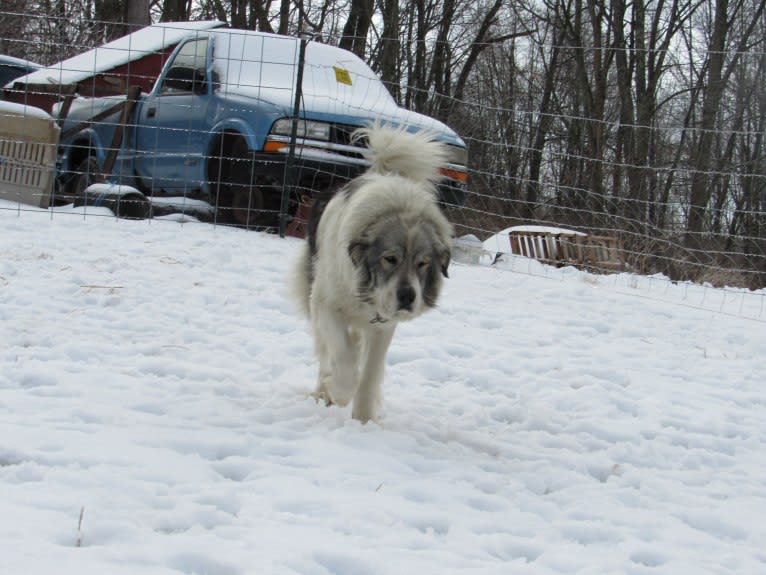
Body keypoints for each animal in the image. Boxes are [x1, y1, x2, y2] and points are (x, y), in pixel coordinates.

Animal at [292, 125, 450, 424]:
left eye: (423, 263)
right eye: (390, 259)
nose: (408, 297)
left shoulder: (383, 326)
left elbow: (368, 374)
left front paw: (363, 421)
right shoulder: (326, 304)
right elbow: (342, 356)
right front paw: (341, 391)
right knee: (328, 351)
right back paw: (323, 391)